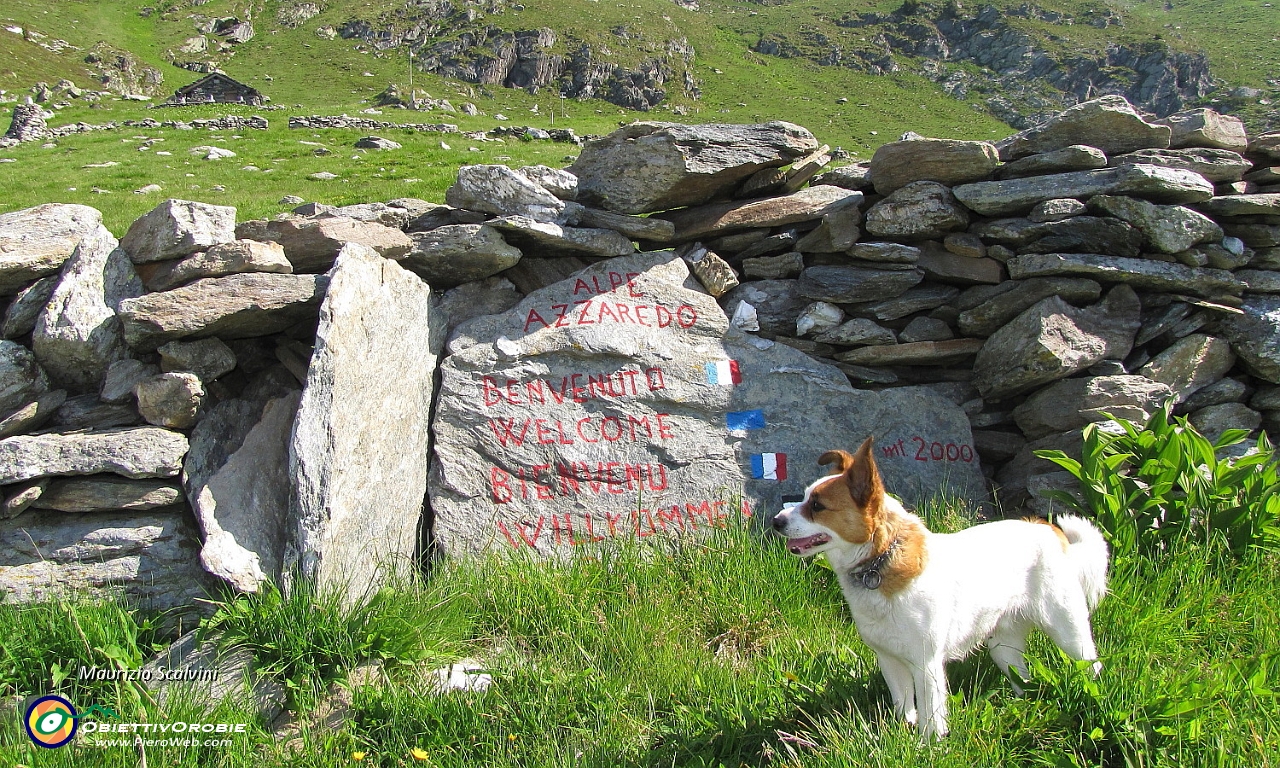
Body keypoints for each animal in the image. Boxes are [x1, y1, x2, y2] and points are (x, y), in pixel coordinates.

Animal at [768, 437, 1111, 737]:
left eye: (817, 505)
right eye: (803, 498)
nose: (775, 521)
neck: (881, 558)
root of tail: (1047, 528)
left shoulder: (927, 664)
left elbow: (931, 718)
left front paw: (928, 747)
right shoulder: (889, 661)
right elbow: (903, 709)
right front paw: (901, 736)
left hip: (1069, 631)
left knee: (1092, 667)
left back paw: (1093, 697)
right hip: (1003, 645)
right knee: (1021, 678)